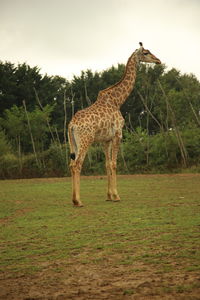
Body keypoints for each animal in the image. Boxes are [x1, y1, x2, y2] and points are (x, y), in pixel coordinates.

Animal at [67, 42, 161, 206]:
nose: (158, 60)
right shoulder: (118, 134)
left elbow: (107, 164)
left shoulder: (106, 140)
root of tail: (71, 125)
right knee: (77, 164)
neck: (118, 100)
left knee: (72, 164)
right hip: (86, 140)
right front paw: (116, 196)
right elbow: (114, 164)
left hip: (75, 143)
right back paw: (78, 201)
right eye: (146, 52)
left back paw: (74, 199)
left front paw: (109, 196)